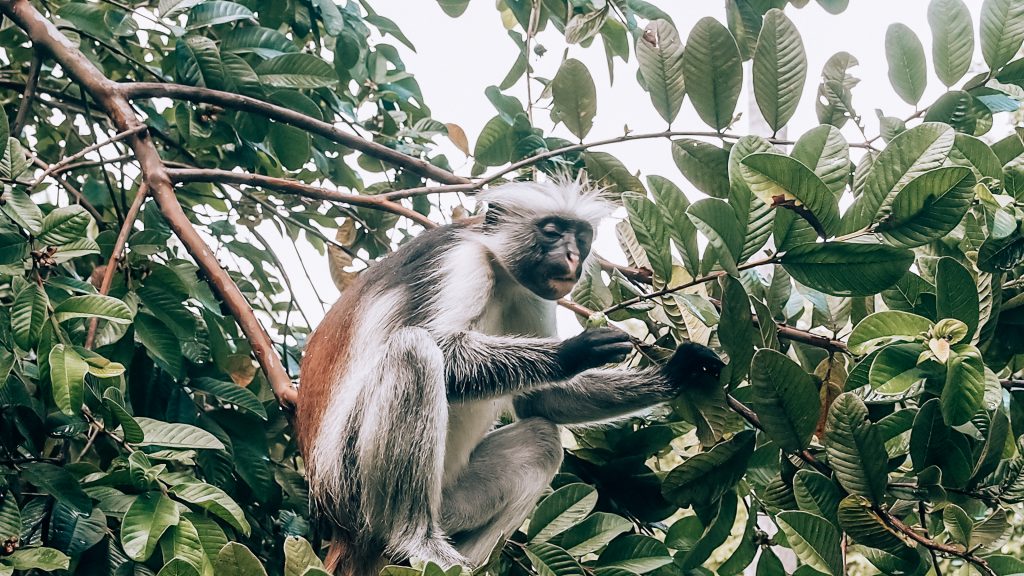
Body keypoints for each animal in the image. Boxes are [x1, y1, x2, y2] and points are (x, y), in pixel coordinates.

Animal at [296, 179, 725, 575]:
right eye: (551, 232)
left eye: (581, 239)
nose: (572, 255)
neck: (497, 269)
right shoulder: (460, 260)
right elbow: (442, 348)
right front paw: (574, 351)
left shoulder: (531, 289)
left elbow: (540, 400)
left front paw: (677, 370)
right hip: (348, 482)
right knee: (415, 350)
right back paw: (414, 542)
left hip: (450, 502)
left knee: (541, 440)